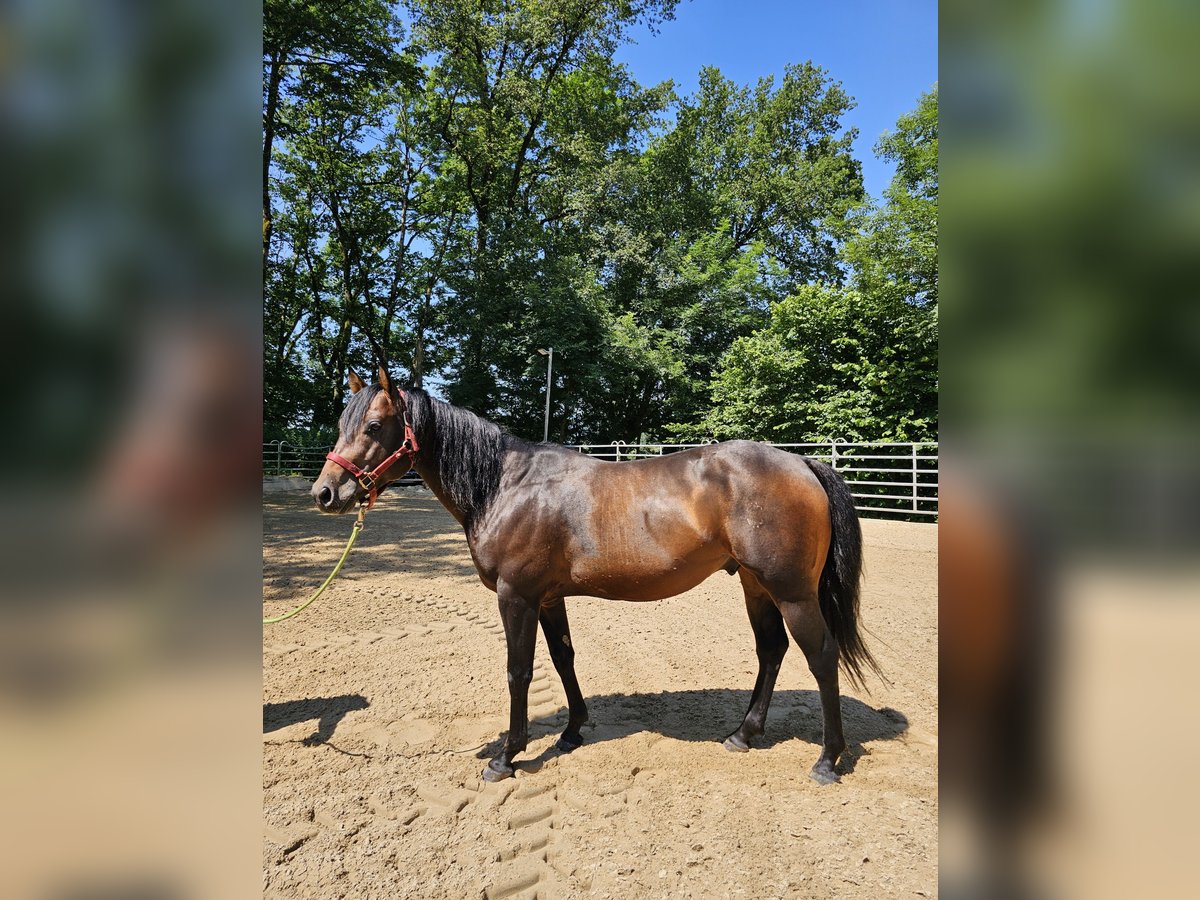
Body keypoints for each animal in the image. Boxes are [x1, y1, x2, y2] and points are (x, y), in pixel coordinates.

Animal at [309, 369, 883, 787]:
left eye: (373, 427)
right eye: (342, 424)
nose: (326, 493)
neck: (504, 484)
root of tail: (803, 464)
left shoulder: (516, 597)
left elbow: (519, 672)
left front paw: (507, 756)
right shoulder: (547, 598)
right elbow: (563, 659)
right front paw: (570, 732)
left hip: (791, 592)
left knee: (821, 656)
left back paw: (828, 760)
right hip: (754, 585)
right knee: (771, 651)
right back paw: (744, 734)